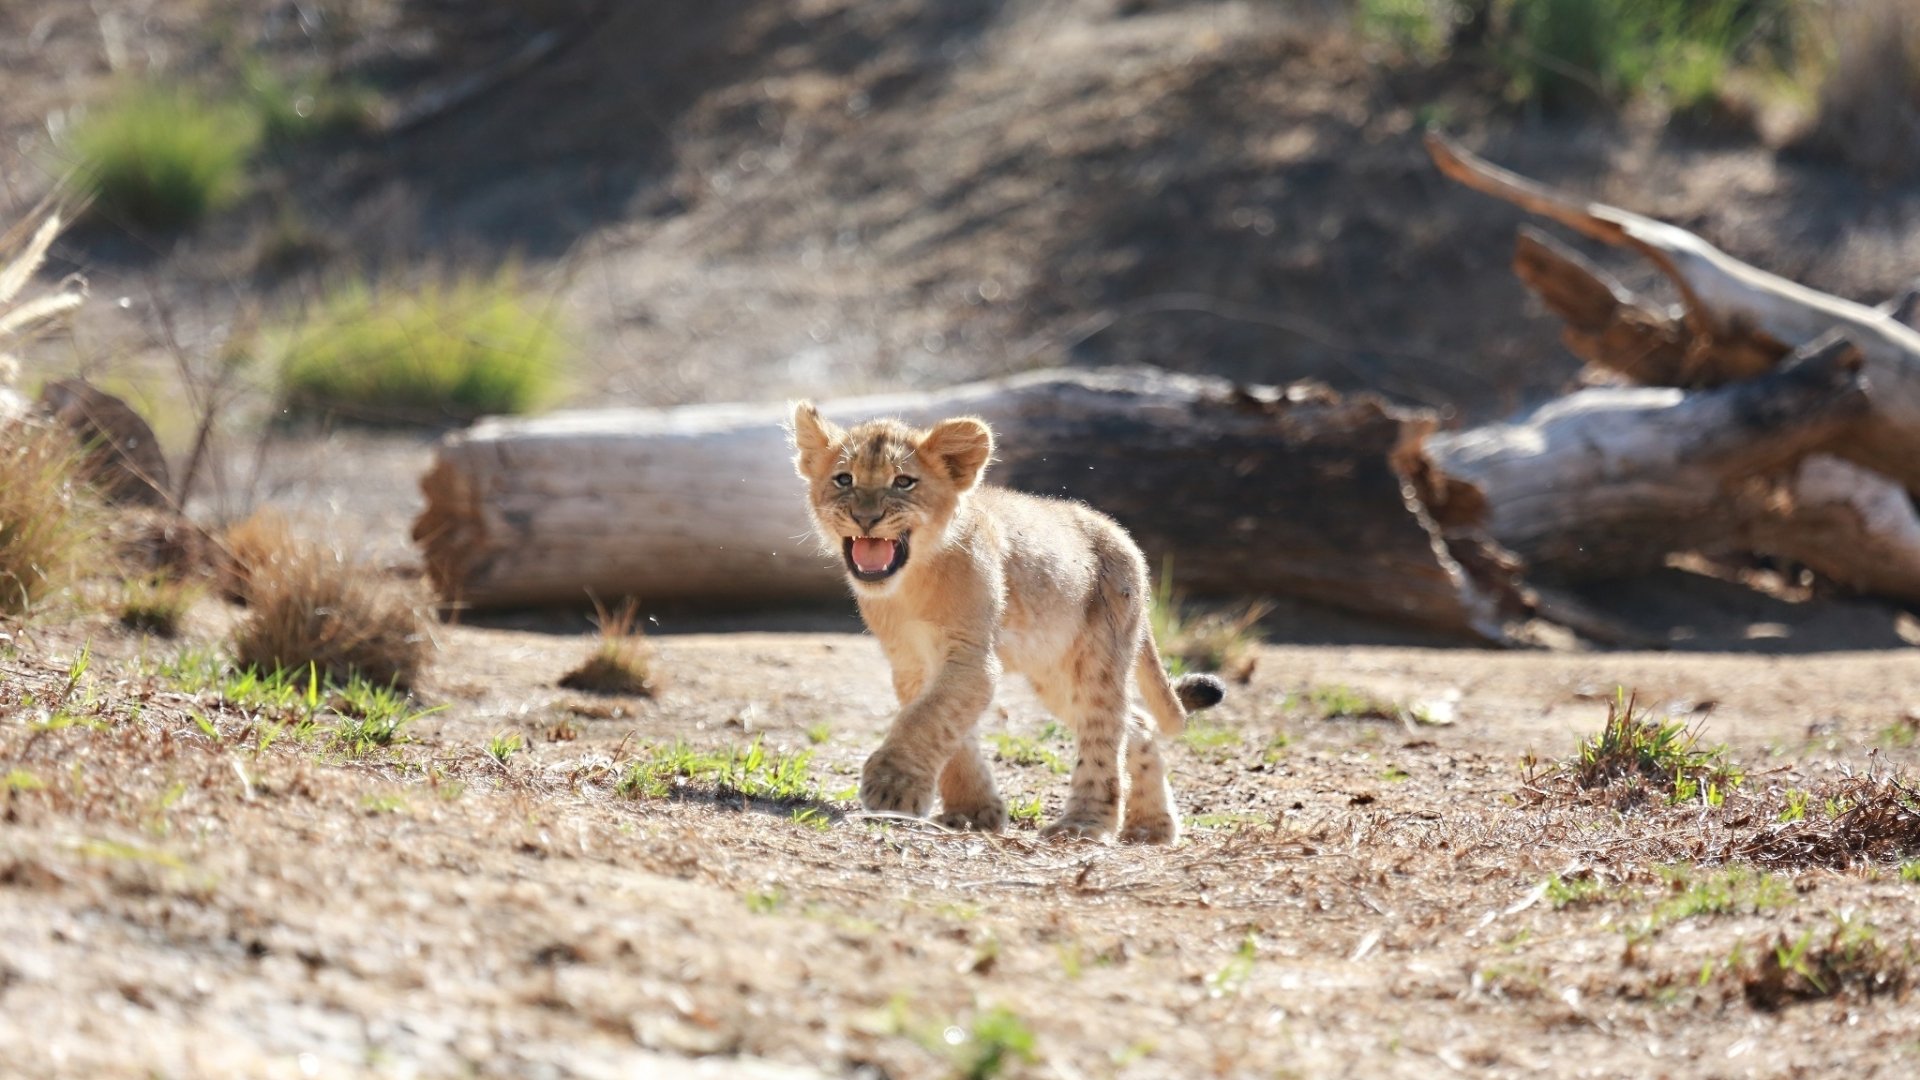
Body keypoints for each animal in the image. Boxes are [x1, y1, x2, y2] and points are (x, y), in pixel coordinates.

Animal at [791, 402, 1225, 844]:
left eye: (904, 482)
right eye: (844, 479)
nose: (866, 518)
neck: (912, 583)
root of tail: (1123, 537)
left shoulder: (972, 655)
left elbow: (928, 718)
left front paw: (892, 786)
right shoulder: (911, 662)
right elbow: (949, 726)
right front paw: (972, 812)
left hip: (1097, 660)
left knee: (1103, 733)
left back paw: (1085, 824)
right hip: (1055, 675)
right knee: (1136, 723)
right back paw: (1151, 827)